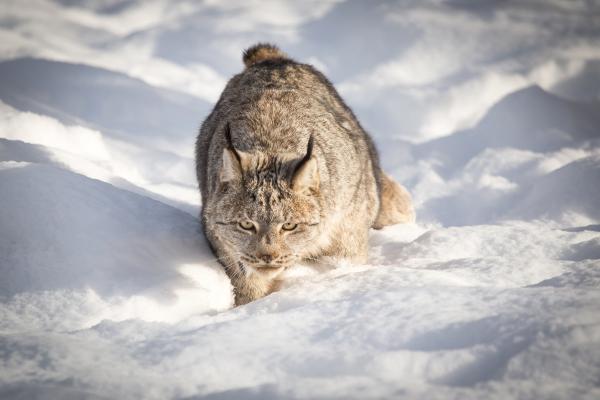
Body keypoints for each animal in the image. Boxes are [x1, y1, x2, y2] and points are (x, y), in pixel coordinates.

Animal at [196, 43, 412, 304]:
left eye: (289, 226)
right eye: (246, 225)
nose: (268, 257)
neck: (270, 146)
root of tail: (272, 61)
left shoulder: (348, 231)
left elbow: (341, 264)